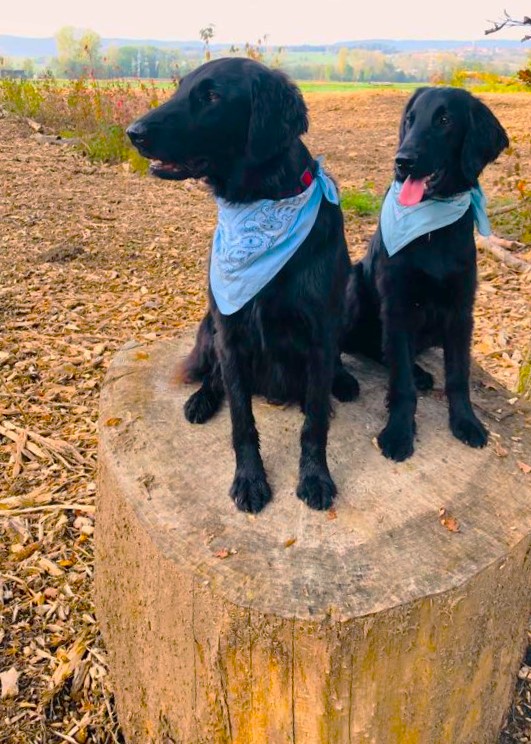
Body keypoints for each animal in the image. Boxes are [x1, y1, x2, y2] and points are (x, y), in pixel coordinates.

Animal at [127, 58, 359, 513]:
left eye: (212, 97)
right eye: (180, 89)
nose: (134, 132)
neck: (262, 203)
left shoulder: (321, 333)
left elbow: (314, 422)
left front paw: (315, 476)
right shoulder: (230, 332)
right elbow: (241, 419)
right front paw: (250, 479)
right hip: (208, 328)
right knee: (212, 376)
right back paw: (200, 400)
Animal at [341, 87, 509, 462]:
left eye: (444, 120)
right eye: (410, 119)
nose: (402, 161)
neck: (432, 229)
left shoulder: (461, 311)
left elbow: (458, 375)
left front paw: (466, 421)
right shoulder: (398, 306)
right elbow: (400, 380)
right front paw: (398, 432)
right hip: (354, 283)